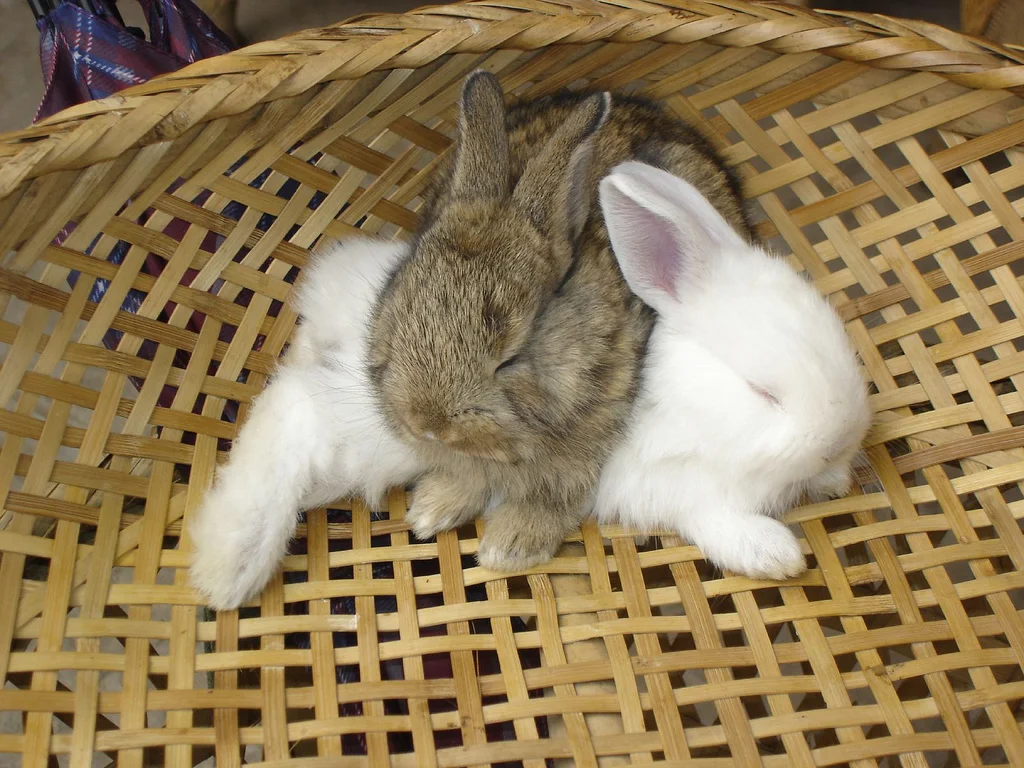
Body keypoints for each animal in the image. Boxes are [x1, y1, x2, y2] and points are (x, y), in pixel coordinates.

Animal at [367, 71, 750, 572]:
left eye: (510, 359)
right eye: (402, 304)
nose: (427, 423)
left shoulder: (591, 448)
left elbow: (557, 496)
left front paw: (507, 548)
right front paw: (430, 511)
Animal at [593, 161, 872, 580]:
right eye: (761, 390)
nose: (839, 443)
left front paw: (834, 480)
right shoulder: (654, 485)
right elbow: (708, 515)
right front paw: (776, 555)